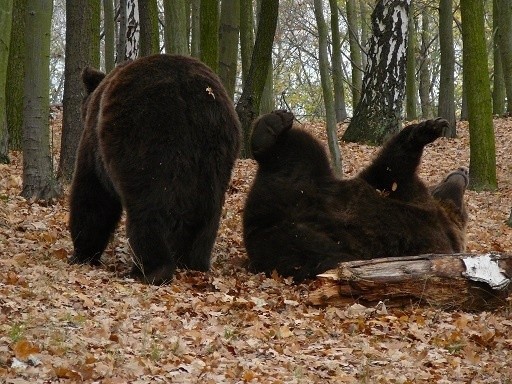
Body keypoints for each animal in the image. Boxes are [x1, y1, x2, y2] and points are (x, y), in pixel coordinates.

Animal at [68, 54, 242, 284]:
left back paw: (149, 270)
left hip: (147, 135)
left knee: (148, 208)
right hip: (217, 148)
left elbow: (92, 194)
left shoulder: (94, 145)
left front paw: (82, 253)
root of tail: (188, 92)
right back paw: (194, 263)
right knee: (208, 211)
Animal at [244, 109, 468, 280]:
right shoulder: (397, 188)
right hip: (310, 176)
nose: (463, 170)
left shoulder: (436, 234)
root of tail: (260, 223)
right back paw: (274, 124)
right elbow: (392, 164)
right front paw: (431, 126)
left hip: (302, 237)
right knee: (300, 145)